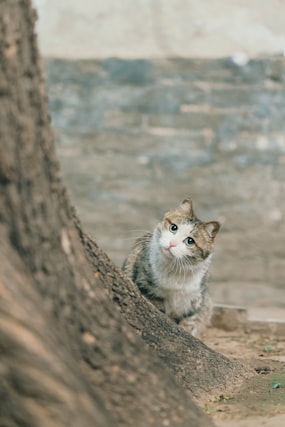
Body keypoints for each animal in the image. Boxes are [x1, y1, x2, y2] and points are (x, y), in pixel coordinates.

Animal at [122, 198, 220, 338]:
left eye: (190, 241)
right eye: (173, 227)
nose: (171, 244)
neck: (176, 269)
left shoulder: (194, 302)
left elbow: (188, 324)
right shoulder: (147, 289)